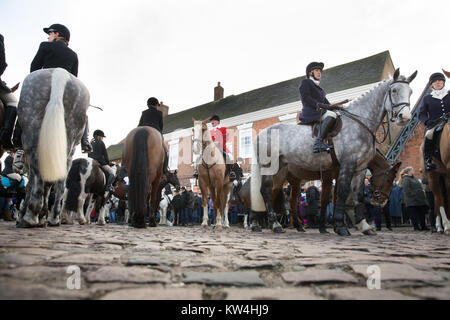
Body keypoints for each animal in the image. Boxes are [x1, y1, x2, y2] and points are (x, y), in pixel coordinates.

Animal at [16, 67, 89, 228]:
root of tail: (60, 72)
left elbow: (30, 184)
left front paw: (24, 215)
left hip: (32, 134)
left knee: (39, 172)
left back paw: (31, 216)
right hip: (68, 142)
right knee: (58, 181)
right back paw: (52, 217)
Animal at [251, 69, 416, 236]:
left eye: (410, 91)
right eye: (394, 91)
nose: (405, 117)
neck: (360, 124)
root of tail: (261, 134)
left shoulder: (360, 167)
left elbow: (357, 194)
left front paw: (364, 226)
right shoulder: (346, 165)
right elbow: (341, 193)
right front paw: (340, 226)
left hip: (283, 172)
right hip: (270, 168)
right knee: (265, 192)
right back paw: (274, 224)